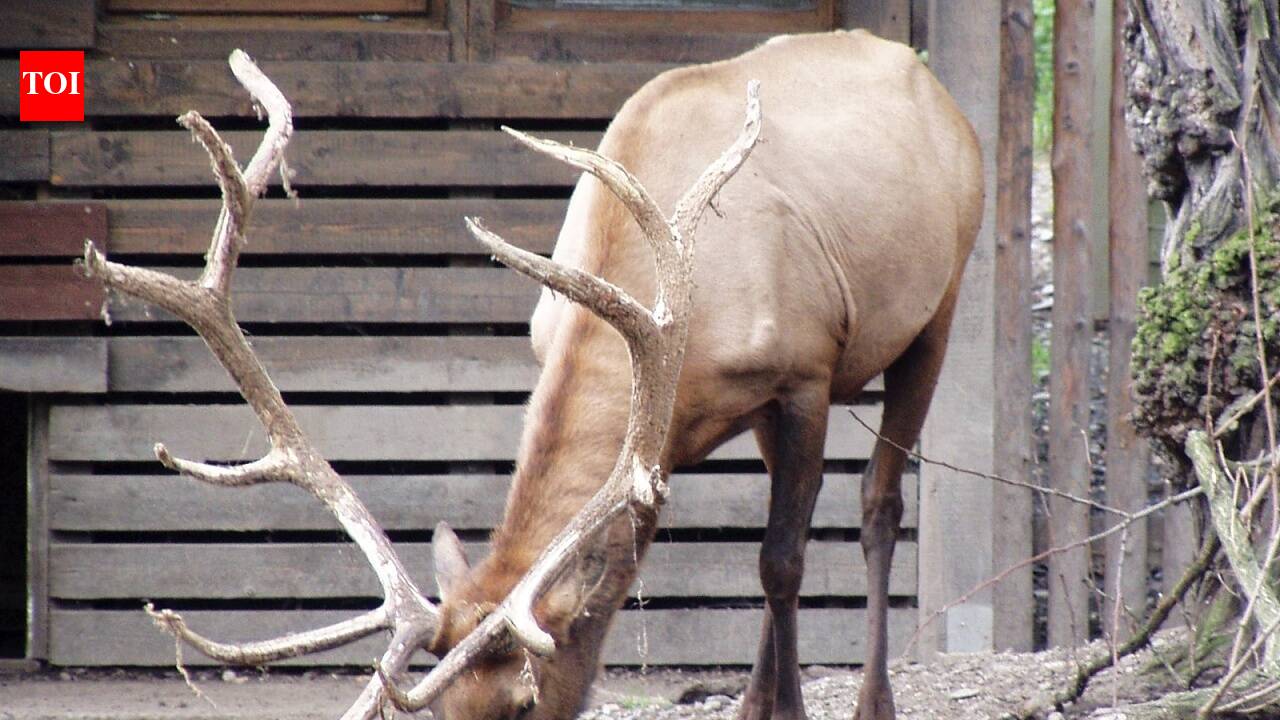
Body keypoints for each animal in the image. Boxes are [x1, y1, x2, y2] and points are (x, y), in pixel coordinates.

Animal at [81, 29, 981, 720]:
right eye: (442, 706)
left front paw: (784, 708)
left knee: (876, 505)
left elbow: (782, 562)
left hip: (938, 306)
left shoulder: (801, 374)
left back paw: (873, 699)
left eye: (523, 701)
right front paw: (758, 703)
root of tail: (939, 89)